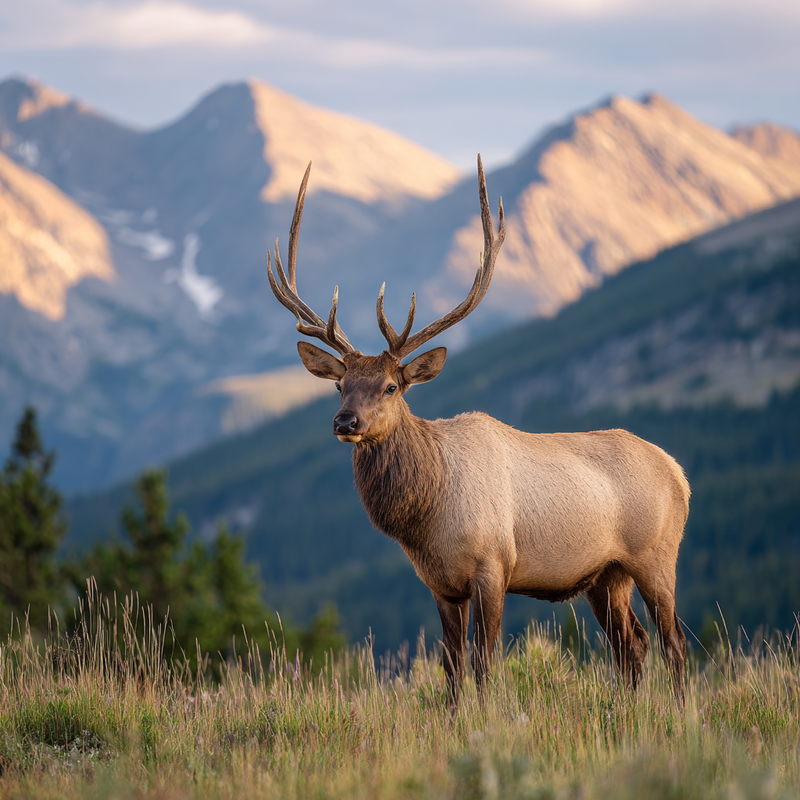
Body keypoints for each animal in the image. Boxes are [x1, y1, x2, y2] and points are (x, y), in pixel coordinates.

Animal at [266, 157, 689, 709]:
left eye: (390, 387)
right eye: (339, 385)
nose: (345, 422)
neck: (428, 518)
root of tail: (680, 474)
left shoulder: (494, 565)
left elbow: (485, 664)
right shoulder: (440, 585)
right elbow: (451, 669)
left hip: (656, 555)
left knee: (674, 642)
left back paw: (683, 714)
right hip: (606, 574)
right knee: (632, 645)